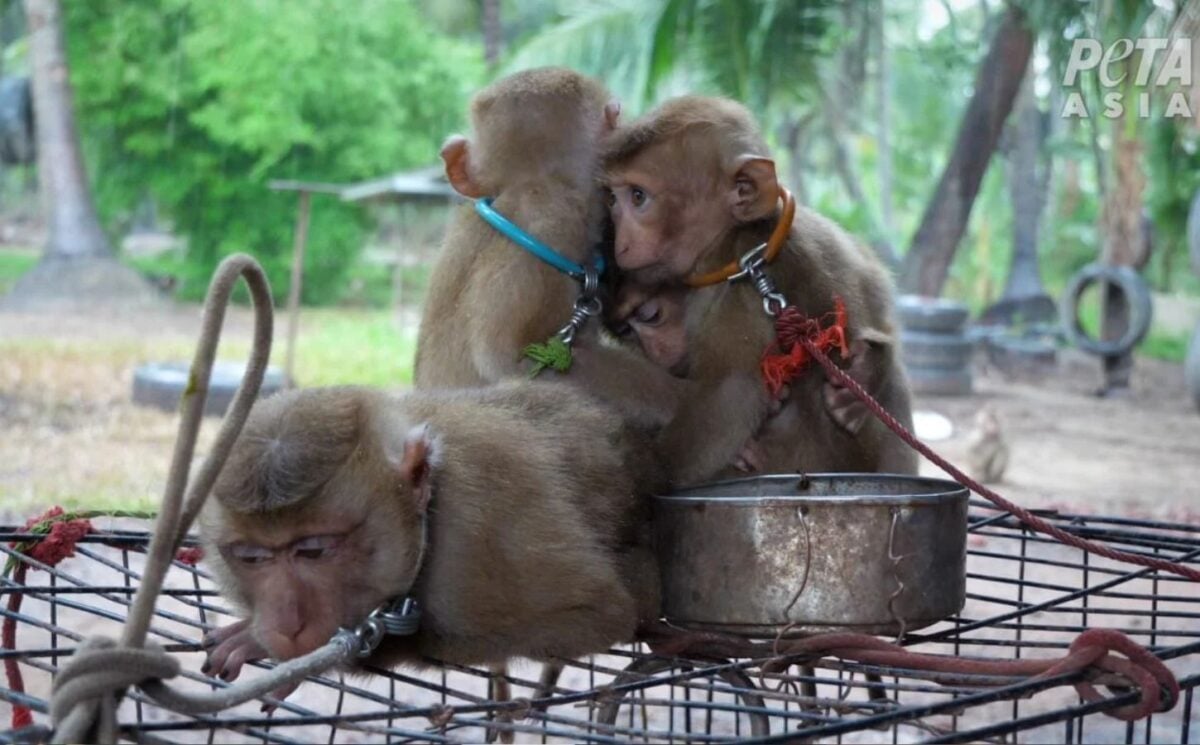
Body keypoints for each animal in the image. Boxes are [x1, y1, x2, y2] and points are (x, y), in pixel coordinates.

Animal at [600, 94, 916, 487]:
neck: (737, 251)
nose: (621, 243)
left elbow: (731, 394)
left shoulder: (741, 293)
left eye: (638, 197)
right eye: (613, 200)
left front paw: (655, 469)